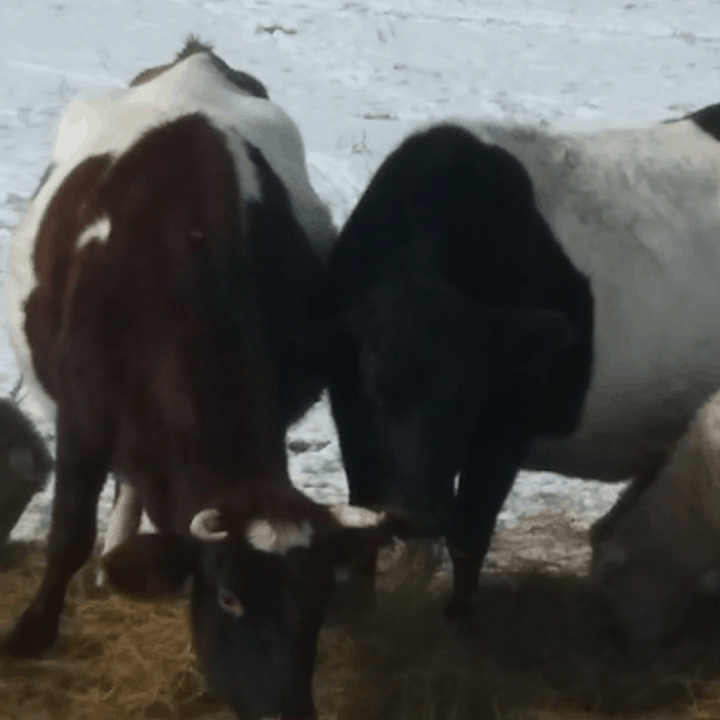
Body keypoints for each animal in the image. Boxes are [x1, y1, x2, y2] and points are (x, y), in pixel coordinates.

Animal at [2, 38, 394, 720]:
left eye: (316, 606)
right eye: (230, 598)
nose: (287, 710)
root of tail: (195, 56)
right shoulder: (81, 418)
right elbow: (69, 531)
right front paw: (33, 631)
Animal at [326, 107, 720, 620]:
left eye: (466, 396)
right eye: (376, 392)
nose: (416, 515)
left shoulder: (508, 421)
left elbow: (470, 531)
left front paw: (460, 621)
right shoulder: (350, 418)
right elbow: (362, 519)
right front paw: (362, 610)